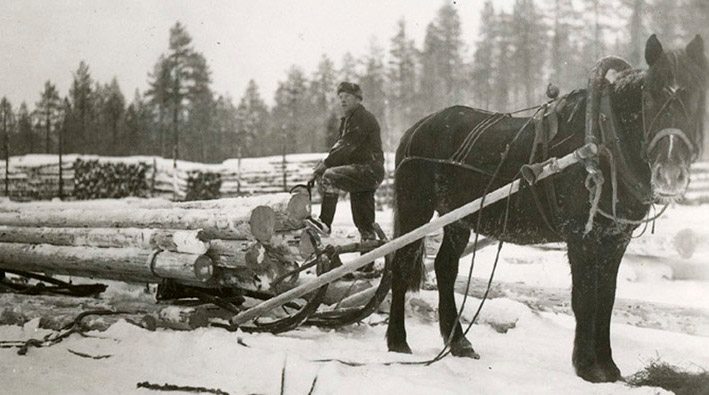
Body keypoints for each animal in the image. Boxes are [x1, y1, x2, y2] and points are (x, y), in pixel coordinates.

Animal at [388, 34, 708, 384]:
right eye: (649, 97)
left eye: (696, 93)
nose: (670, 173)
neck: (602, 143)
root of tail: (415, 128)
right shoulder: (582, 237)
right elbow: (584, 298)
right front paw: (586, 367)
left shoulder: (615, 239)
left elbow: (606, 299)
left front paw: (609, 367)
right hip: (415, 209)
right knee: (399, 264)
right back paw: (397, 341)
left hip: (458, 218)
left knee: (446, 267)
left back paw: (459, 342)